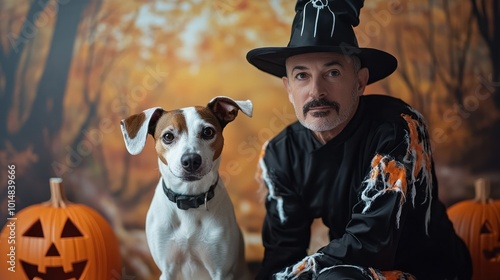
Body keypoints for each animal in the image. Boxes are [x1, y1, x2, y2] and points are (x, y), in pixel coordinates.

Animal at [120, 97, 252, 280]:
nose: (190, 160)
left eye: (208, 132)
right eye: (168, 136)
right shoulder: (167, 269)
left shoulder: (221, 271)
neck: (189, 200)